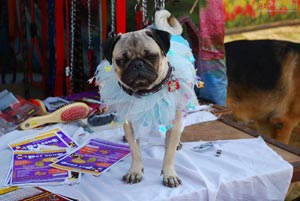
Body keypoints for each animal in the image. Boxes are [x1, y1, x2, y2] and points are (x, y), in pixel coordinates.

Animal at [97, 9, 198, 188]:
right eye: (121, 61)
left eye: (151, 56)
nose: (137, 64)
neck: (146, 92)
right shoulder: (130, 122)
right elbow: (135, 151)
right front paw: (135, 171)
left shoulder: (174, 118)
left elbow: (169, 153)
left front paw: (169, 174)